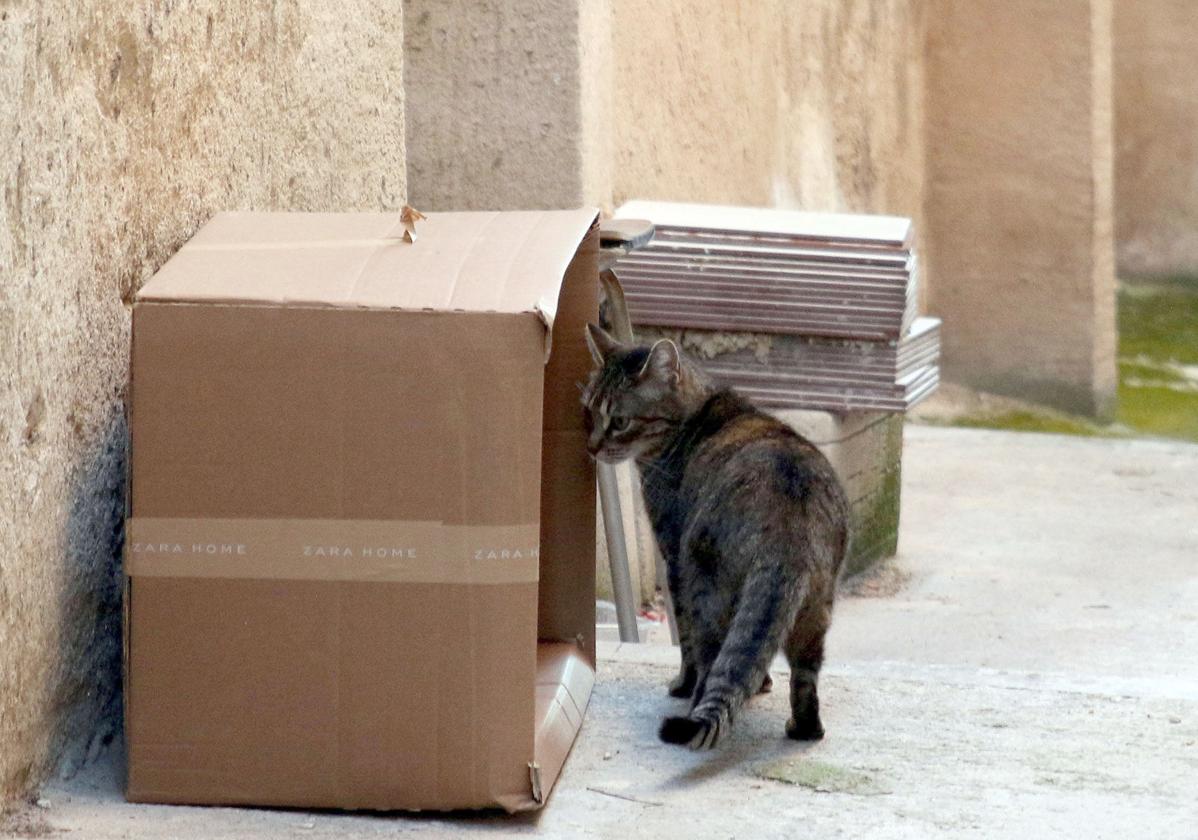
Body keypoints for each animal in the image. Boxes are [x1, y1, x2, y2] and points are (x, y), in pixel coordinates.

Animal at [582, 280, 848, 747]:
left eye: (619, 421)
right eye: (590, 411)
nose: (593, 447)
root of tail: (788, 536)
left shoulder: (672, 556)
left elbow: (686, 643)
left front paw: (681, 685)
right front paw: (761, 685)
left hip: (704, 582)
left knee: (708, 657)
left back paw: (693, 702)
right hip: (816, 610)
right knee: (803, 678)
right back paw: (803, 730)